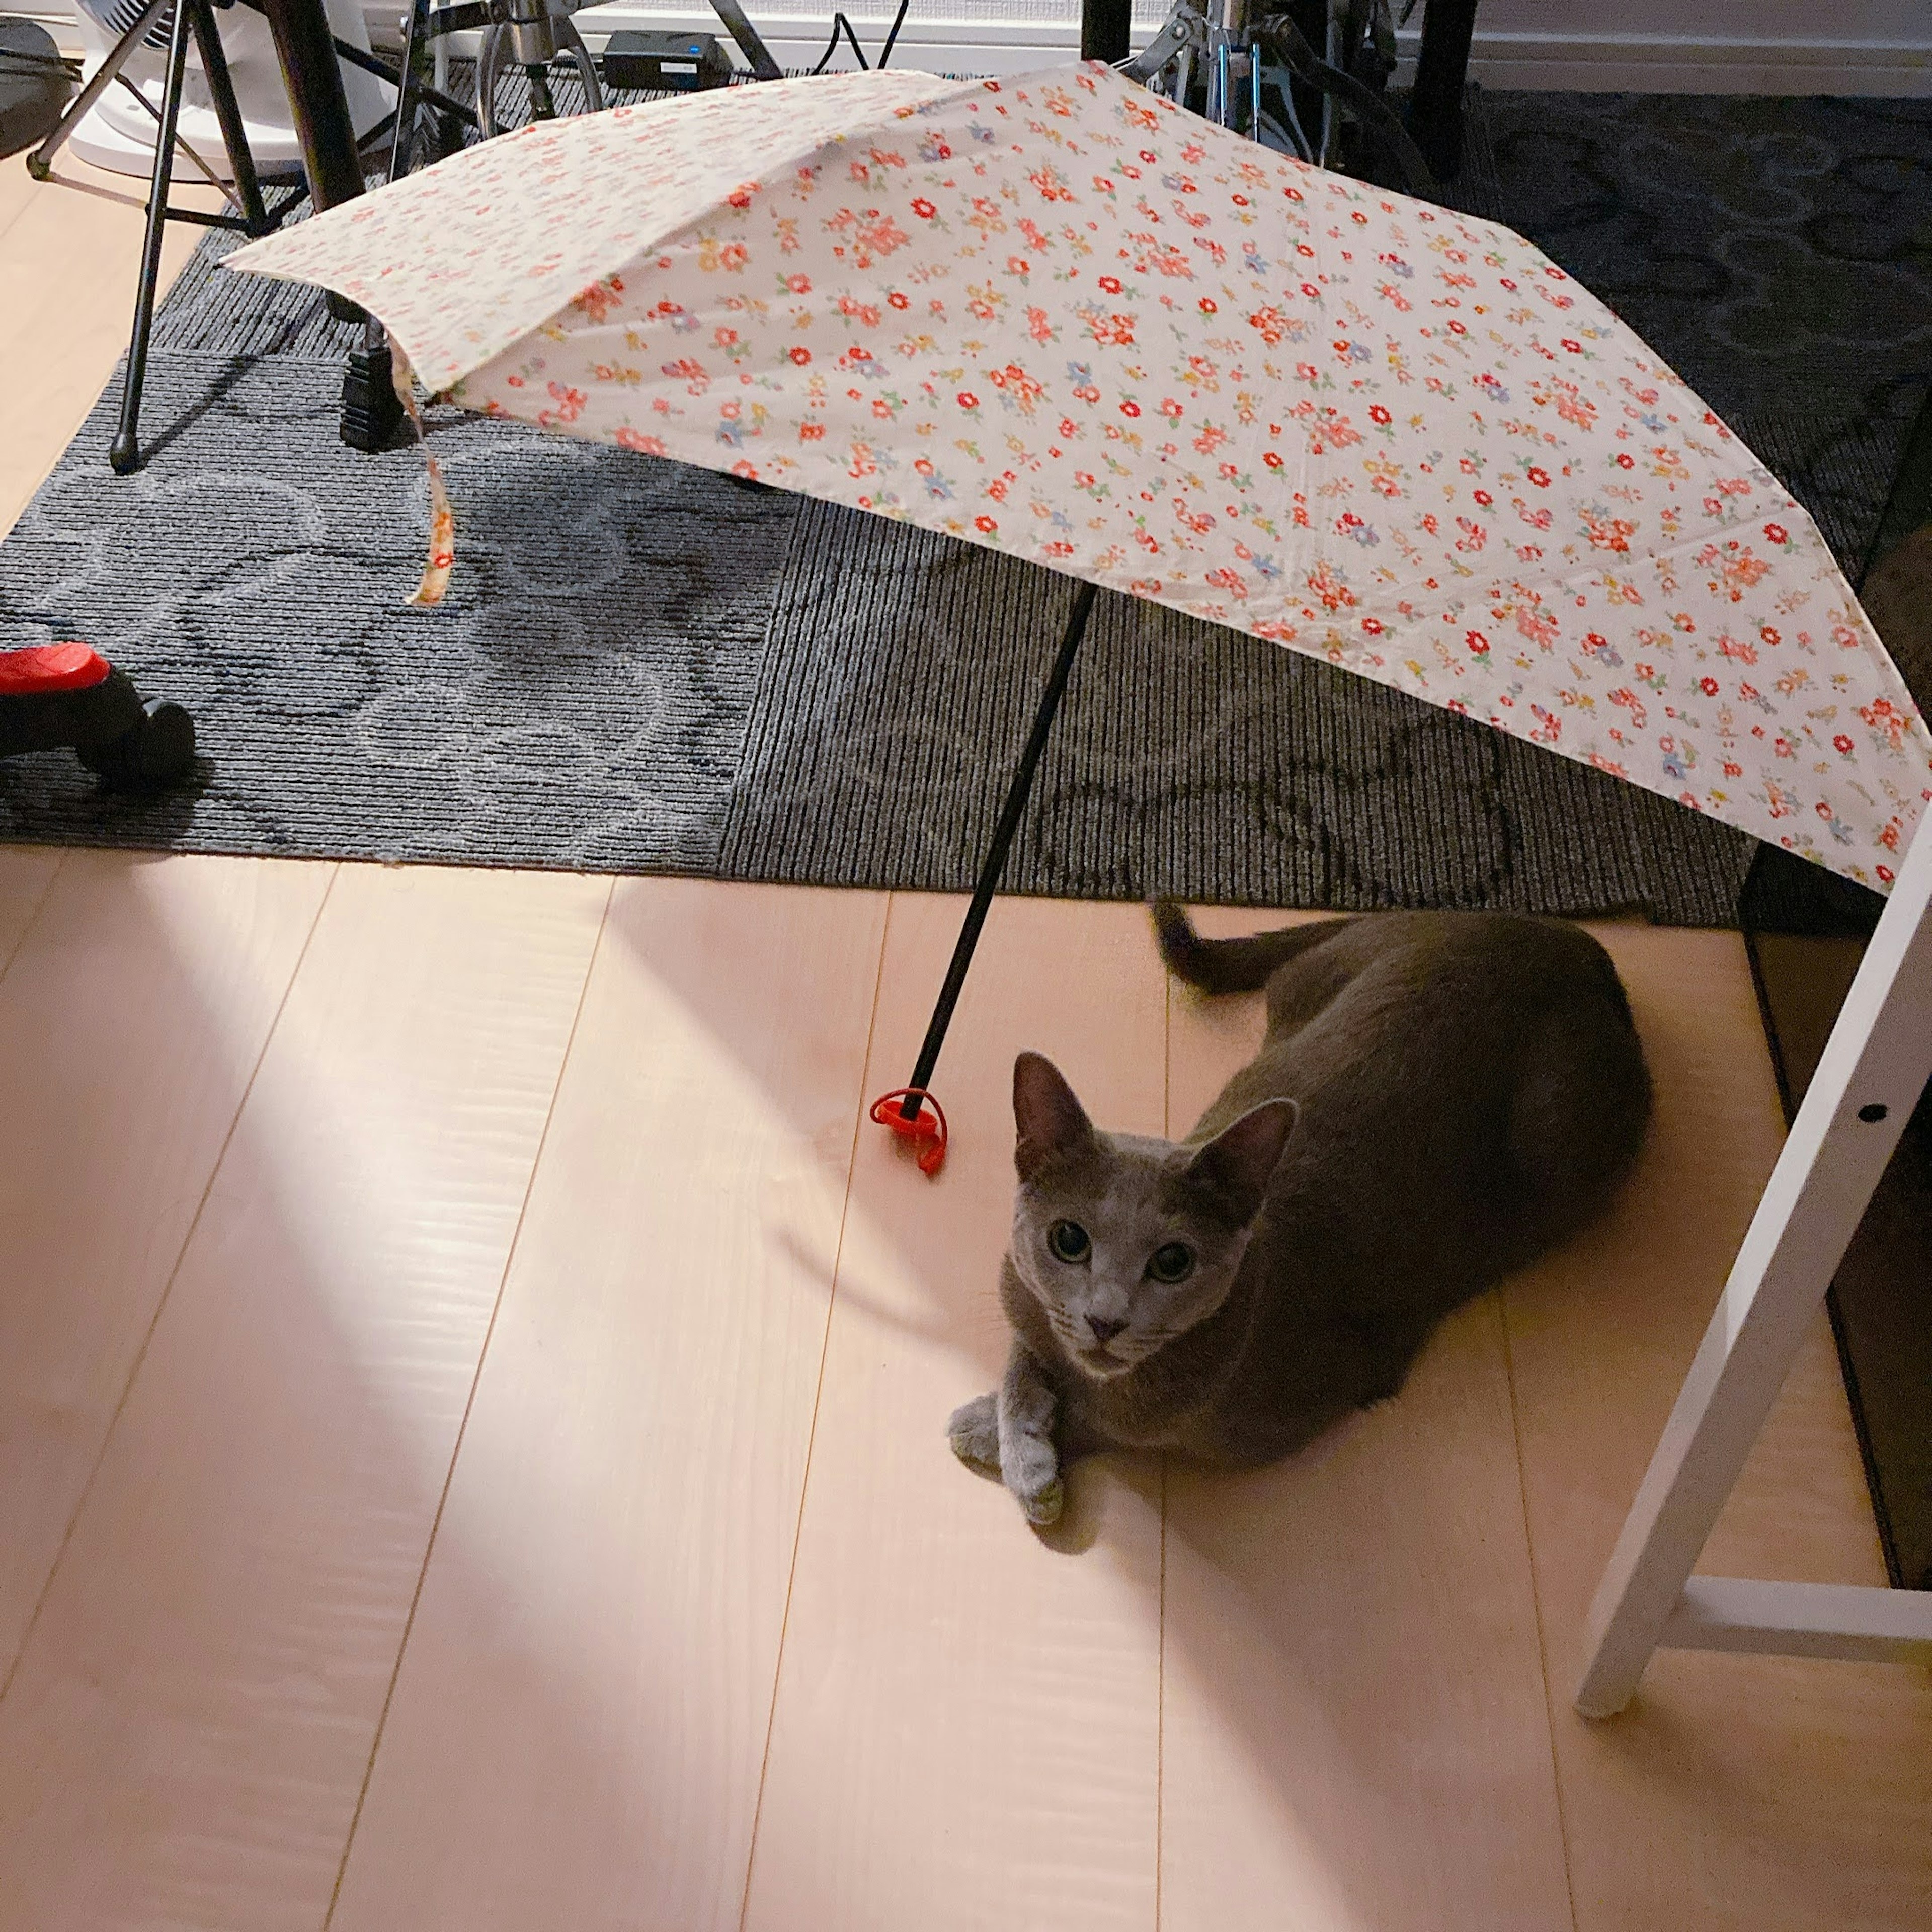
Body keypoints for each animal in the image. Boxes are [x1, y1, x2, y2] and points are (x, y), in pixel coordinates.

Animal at [942, 904, 1654, 1522]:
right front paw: (1018, 1439)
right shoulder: (1022, 1289)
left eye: (1173, 1262)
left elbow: (1111, 1424)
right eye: (1068, 1240)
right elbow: (1023, 1352)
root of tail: (1566, 938)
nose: (1105, 1319)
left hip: (1562, 1139)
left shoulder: (1326, 1388)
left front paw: (1002, 1445)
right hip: (1307, 985)